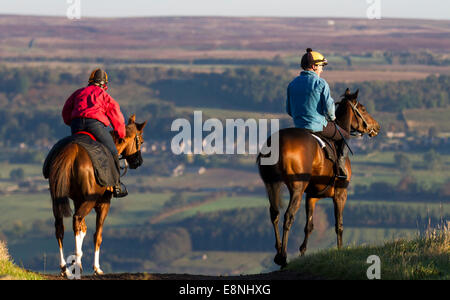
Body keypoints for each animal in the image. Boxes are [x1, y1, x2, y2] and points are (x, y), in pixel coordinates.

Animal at [49, 114, 148, 276]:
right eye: (141, 140)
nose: (138, 161)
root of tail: (72, 151)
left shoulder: (78, 200)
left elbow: (83, 229)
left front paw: (76, 260)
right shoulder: (103, 204)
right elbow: (97, 235)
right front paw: (96, 267)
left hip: (56, 198)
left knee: (60, 227)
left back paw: (64, 267)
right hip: (90, 201)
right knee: (76, 219)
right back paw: (77, 265)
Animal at [256, 88, 380, 268]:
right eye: (363, 109)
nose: (376, 126)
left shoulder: (311, 196)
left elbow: (309, 226)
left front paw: (302, 253)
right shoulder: (340, 194)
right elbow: (339, 225)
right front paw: (340, 251)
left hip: (272, 184)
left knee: (275, 214)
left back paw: (278, 252)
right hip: (297, 188)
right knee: (288, 216)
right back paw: (283, 257)